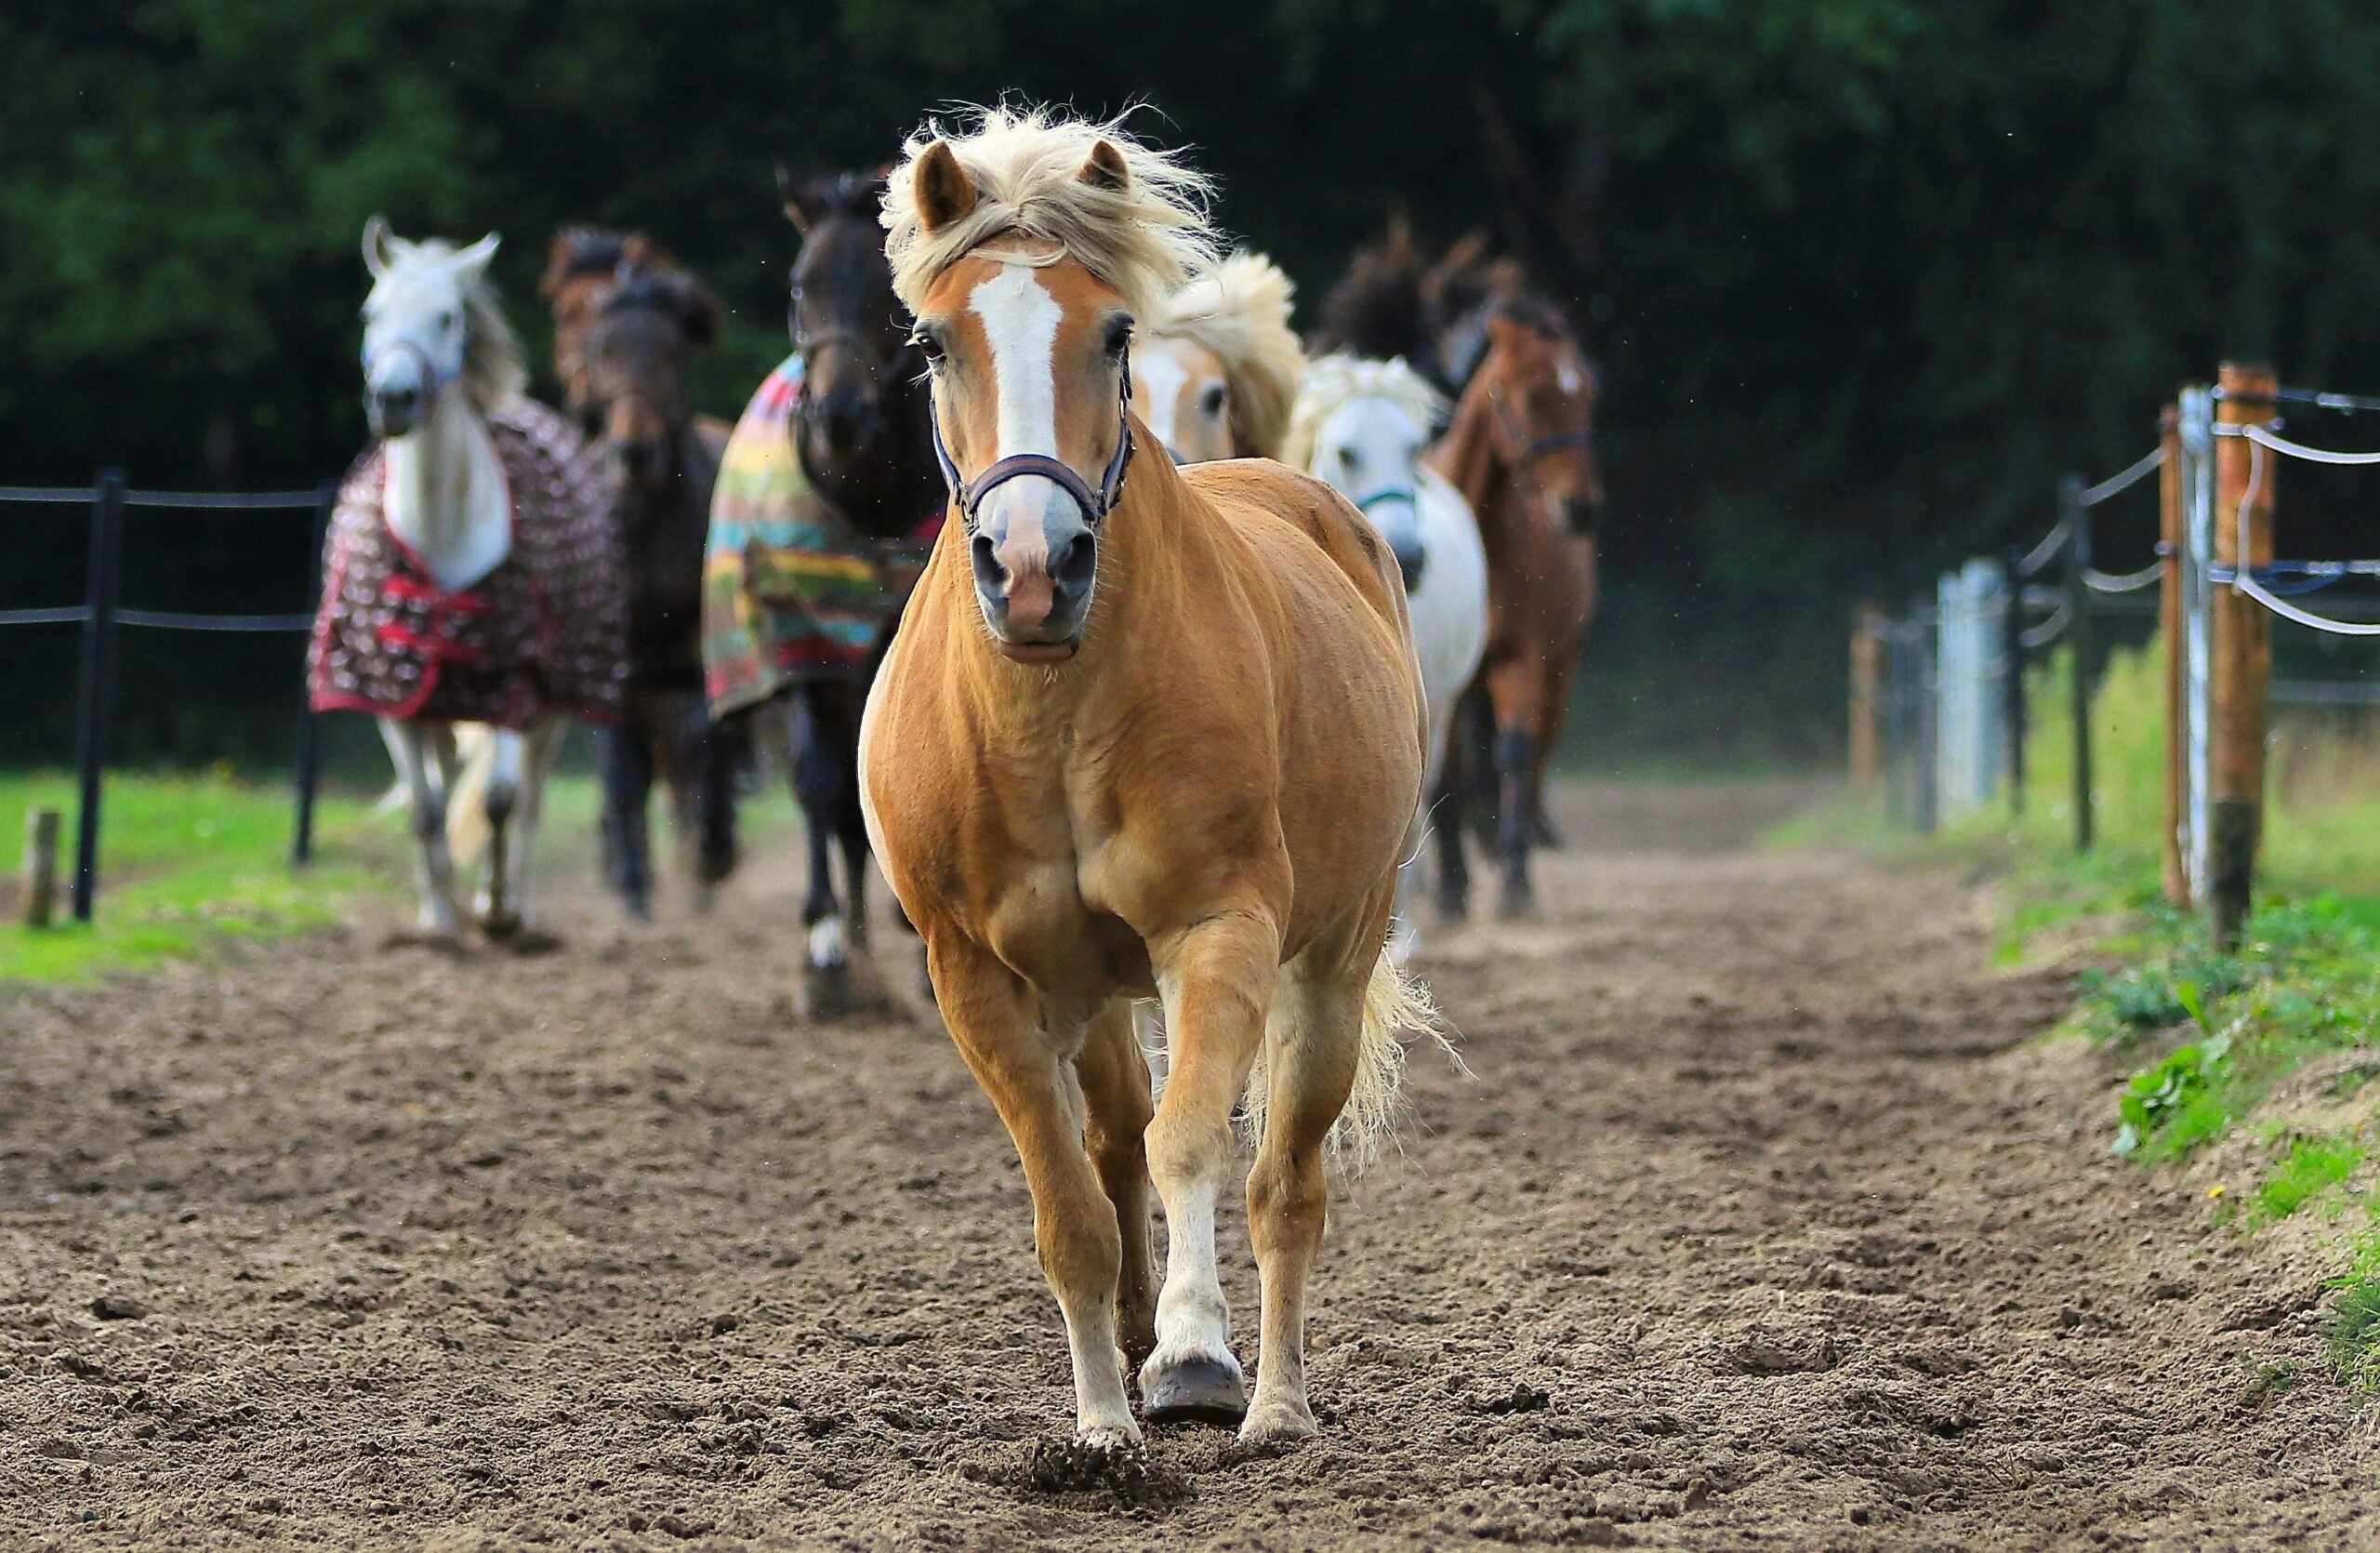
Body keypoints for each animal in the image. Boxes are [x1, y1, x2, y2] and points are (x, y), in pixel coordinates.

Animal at [310, 218, 624, 938]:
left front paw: (496, 908)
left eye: (448, 316)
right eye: (372, 313)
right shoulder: (390, 689)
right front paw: (441, 918)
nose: (394, 399)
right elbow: (425, 808)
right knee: (446, 781)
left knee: (529, 796)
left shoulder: (512, 684)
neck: (442, 527)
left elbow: (501, 801)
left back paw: (521, 907)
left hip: (550, 705)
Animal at [541, 231, 739, 919]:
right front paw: (631, 884)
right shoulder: (617, 663)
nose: (635, 450)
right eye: (603, 349)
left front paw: (710, 854)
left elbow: (704, 746)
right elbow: (624, 775)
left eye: (671, 352)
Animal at [702, 170, 942, 1015]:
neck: (866, 499)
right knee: (840, 804)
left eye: (886, 289)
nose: (839, 415)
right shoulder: (799, 641)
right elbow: (816, 784)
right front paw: (826, 953)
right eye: (801, 286)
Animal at [1426, 294, 1603, 918]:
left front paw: (1515, 882)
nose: (1579, 506)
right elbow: (1449, 774)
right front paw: (1451, 890)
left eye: (1588, 395)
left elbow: (1517, 752)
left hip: (1560, 670)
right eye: (1530, 396)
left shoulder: (1523, 658)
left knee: (1536, 752)